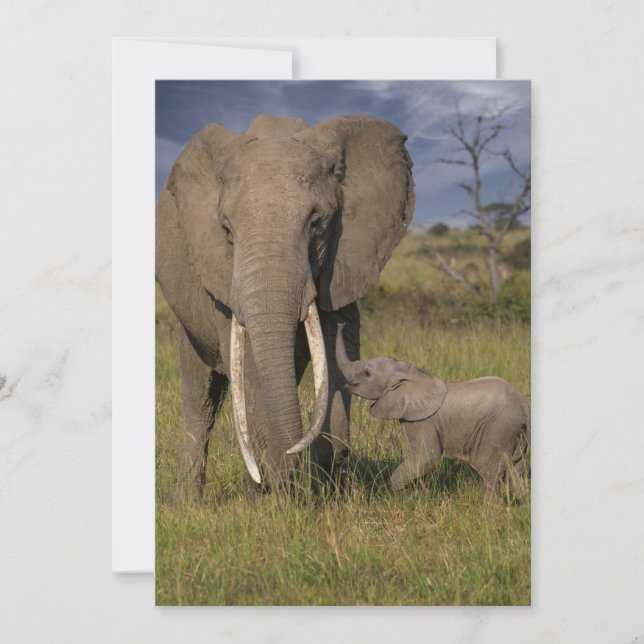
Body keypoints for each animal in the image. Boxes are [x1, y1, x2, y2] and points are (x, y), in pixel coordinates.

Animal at [156, 113, 415, 495]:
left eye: (317, 223)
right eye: (226, 230)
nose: (291, 465)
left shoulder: (343, 261)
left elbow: (338, 354)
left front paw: (329, 490)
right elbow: (248, 368)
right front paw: (276, 494)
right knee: (201, 397)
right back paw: (191, 500)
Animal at [335, 324, 530, 499]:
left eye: (367, 373)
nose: (341, 323)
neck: (409, 372)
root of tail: (524, 406)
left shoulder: (422, 420)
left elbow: (427, 456)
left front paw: (403, 497)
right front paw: (418, 495)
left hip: (499, 427)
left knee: (489, 470)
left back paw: (490, 509)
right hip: (516, 433)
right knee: (515, 469)